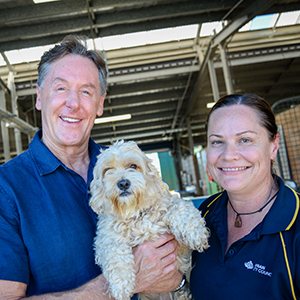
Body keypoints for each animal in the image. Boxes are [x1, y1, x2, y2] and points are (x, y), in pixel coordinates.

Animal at [89, 141, 209, 300]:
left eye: (133, 166)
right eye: (108, 170)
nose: (123, 183)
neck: (135, 213)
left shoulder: (179, 240)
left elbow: (180, 208)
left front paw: (196, 234)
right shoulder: (106, 239)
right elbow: (115, 255)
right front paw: (121, 286)